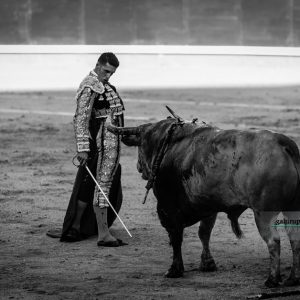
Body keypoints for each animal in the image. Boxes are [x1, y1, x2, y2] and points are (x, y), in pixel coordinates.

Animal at [106, 108, 300, 288]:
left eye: (141, 144)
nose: (139, 167)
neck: (168, 144)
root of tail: (283, 144)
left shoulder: (168, 208)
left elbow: (175, 237)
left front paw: (175, 270)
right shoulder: (208, 206)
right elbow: (204, 233)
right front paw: (207, 264)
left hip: (263, 213)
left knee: (273, 241)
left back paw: (272, 280)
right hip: (292, 209)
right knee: (294, 238)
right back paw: (292, 279)